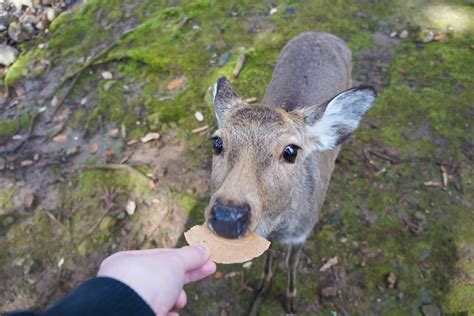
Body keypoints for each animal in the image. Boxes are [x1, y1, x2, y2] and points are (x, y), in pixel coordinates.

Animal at [206, 32, 376, 314]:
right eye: (217, 143)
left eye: (290, 151)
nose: (228, 217)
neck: (280, 227)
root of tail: (323, 33)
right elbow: (268, 255)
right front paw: (263, 288)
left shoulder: (303, 231)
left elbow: (290, 263)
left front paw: (291, 300)